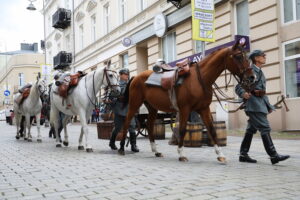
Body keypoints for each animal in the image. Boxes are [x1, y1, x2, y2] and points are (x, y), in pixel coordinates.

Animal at [118, 38, 254, 162]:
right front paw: (181, 154)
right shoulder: (185, 109)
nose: (252, 77)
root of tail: (135, 77)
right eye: (238, 56)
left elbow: (212, 129)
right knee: (126, 122)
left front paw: (220, 155)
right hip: (134, 104)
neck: (200, 79)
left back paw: (156, 151)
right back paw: (121, 149)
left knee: (150, 126)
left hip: (152, 108)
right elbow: (182, 130)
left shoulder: (204, 109)